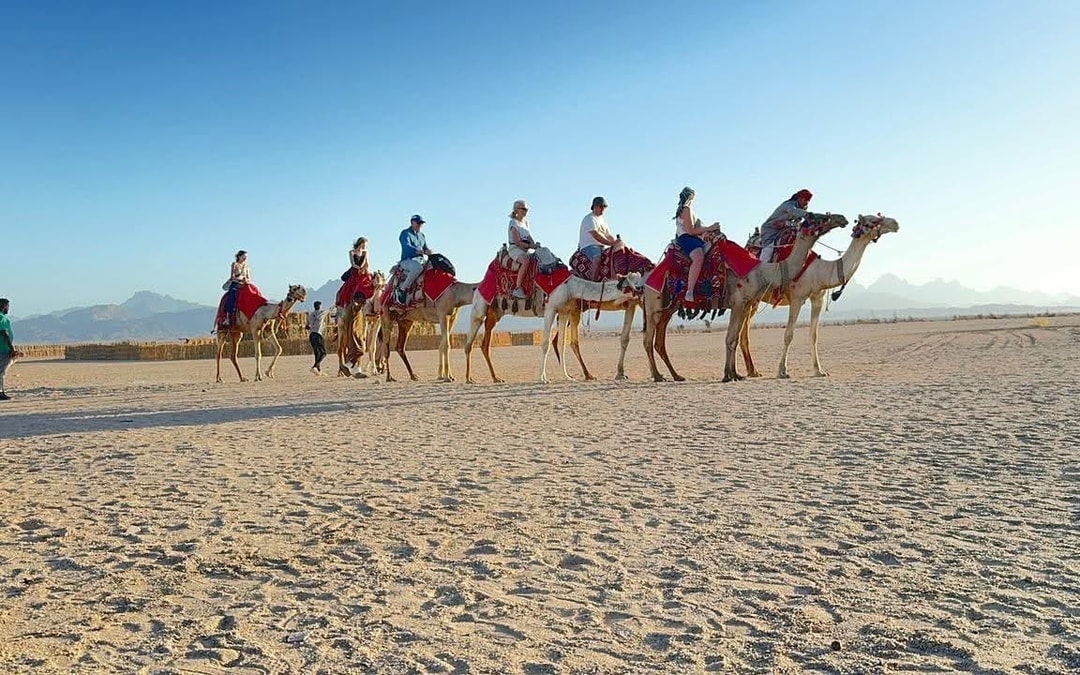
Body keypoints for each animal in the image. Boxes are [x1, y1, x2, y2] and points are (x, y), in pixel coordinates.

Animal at [642, 213, 849, 382]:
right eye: (817, 217)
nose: (842, 218)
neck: (761, 270)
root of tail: (646, 278)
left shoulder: (745, 304)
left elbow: (733, 338)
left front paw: (735, 374)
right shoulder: (740, 302)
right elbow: (731, 338)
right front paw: (728, 375)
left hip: (668, 308)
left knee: (659, 341)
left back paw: (676, 375)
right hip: (654, 304)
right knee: (648, 340)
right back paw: (659, 376)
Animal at [738, 213, 900, 379]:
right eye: (870, 222)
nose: (895, 223)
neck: (819, 270)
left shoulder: (817, 298)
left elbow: (814, 335)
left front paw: (819, 370)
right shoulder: (797, 298)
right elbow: (788, 335)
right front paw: (782, 371)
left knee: (744, 332)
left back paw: (753, 371)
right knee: (744, 332)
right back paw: (752, 371)